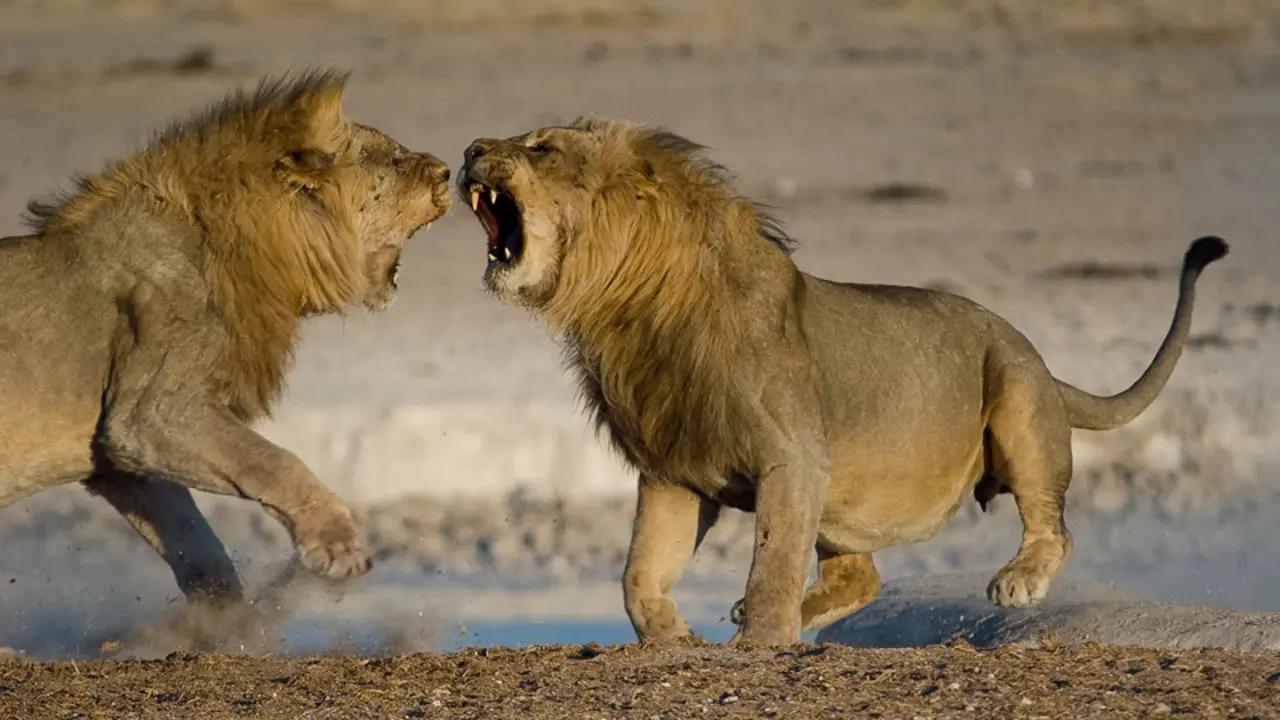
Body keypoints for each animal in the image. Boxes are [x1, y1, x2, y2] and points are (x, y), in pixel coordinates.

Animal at [0, 69, 452, 615]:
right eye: (393, 158)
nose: (449, 171)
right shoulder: (151, 414)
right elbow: (273, 462)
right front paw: (339, 546)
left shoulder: (119, 454)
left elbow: (195, 541)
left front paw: (224, 619)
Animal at [456, 116, 1228, 646]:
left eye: (543, 148)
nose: (468, 149)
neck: (633, 313)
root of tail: (1038, 356)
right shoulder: (673, 469)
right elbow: (638, 577)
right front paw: (676, 640)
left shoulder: (793, 458)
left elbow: (771, 562)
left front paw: (761, 641)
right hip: (847, 494)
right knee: (862, 575)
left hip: (1014, 393)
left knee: (1053, 525)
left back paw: (1018, 580)